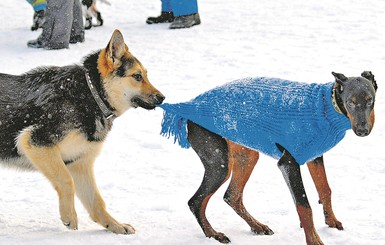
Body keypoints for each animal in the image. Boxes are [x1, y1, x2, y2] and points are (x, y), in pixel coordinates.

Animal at [0, 29, 164, 233]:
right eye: (137, 77)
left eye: (146, 75)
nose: (162, 98)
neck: (91, 96)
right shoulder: (35, 142)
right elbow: (66, 181)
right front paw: (69, 216)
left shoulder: (79, 163)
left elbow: (97, 201)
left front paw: (114, 225)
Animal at [158, 71, 376, 243]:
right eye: (350, 102)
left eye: (370, 100)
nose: (363, 130)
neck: (325, 108)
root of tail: (187, 106)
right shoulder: (288, 163)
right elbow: (304, 206)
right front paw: (314, 240)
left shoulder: (315, 156)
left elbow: (325, 190)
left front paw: (331, 221)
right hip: (219, 162)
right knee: (195, 201)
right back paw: (214, 234)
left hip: (246, 154)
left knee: (232, 196)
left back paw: (257, 226)